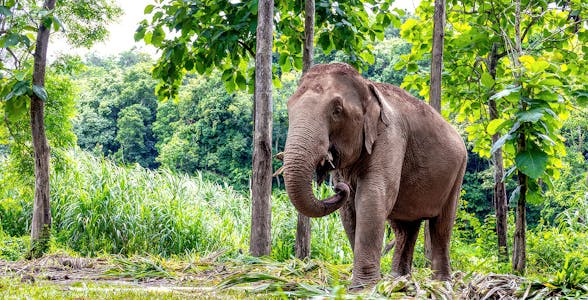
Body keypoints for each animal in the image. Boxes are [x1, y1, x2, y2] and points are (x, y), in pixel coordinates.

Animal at [282, 62, 466, 288]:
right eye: (289, 107)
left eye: (337, 110)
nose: (337, 188)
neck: (368, 87)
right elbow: (349, 209)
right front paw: (368, 285)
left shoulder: (391, 136)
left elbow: (372, 198)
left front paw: (363, 288)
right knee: (405, 228)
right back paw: (398, 280)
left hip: (457, 172)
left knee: (441, 226)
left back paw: (440, 283)